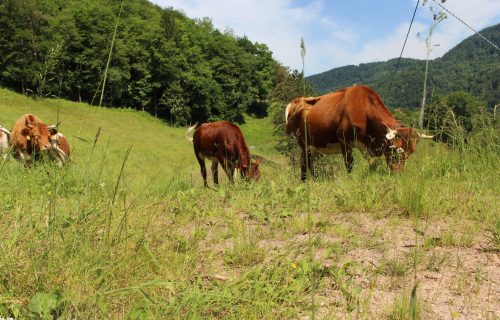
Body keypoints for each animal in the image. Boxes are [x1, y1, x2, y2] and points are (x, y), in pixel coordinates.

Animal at [286, 85, 434, 180]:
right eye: (394, 149)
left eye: (410, 153)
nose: (397, 173)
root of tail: (299, 100)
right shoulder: (344, 140)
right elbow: (349, 164)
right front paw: (351, 180)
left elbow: (372, 166)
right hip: (303, 143)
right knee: (305, 163)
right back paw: (306, 181)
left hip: (313, 147)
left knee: (308, 162)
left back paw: (313, 180)